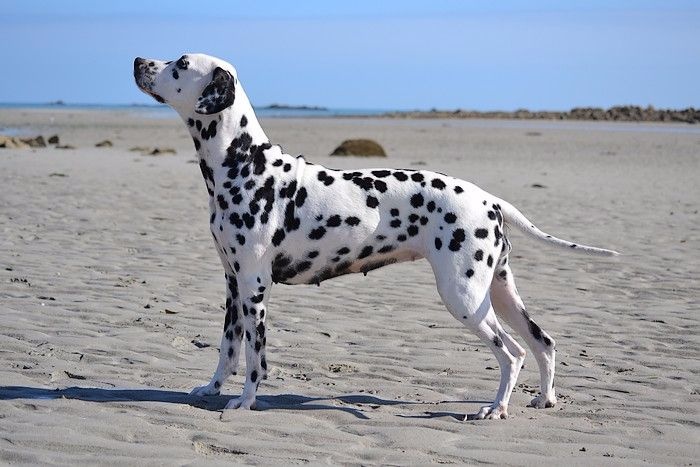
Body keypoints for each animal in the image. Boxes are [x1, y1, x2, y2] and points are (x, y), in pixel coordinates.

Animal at [134, 54, 616, 420]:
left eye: (180, 63)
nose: (139, 61)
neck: (244, 164)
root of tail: (491, 200)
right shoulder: (233, 285)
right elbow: (228, 349)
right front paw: (212, 388)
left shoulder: (255, 287)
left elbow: (256, 359)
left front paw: (244, 402)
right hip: (497, 292)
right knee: (543, 342)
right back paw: (544, 399)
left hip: (464, 298)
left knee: (512, 354)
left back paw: (496, 409)